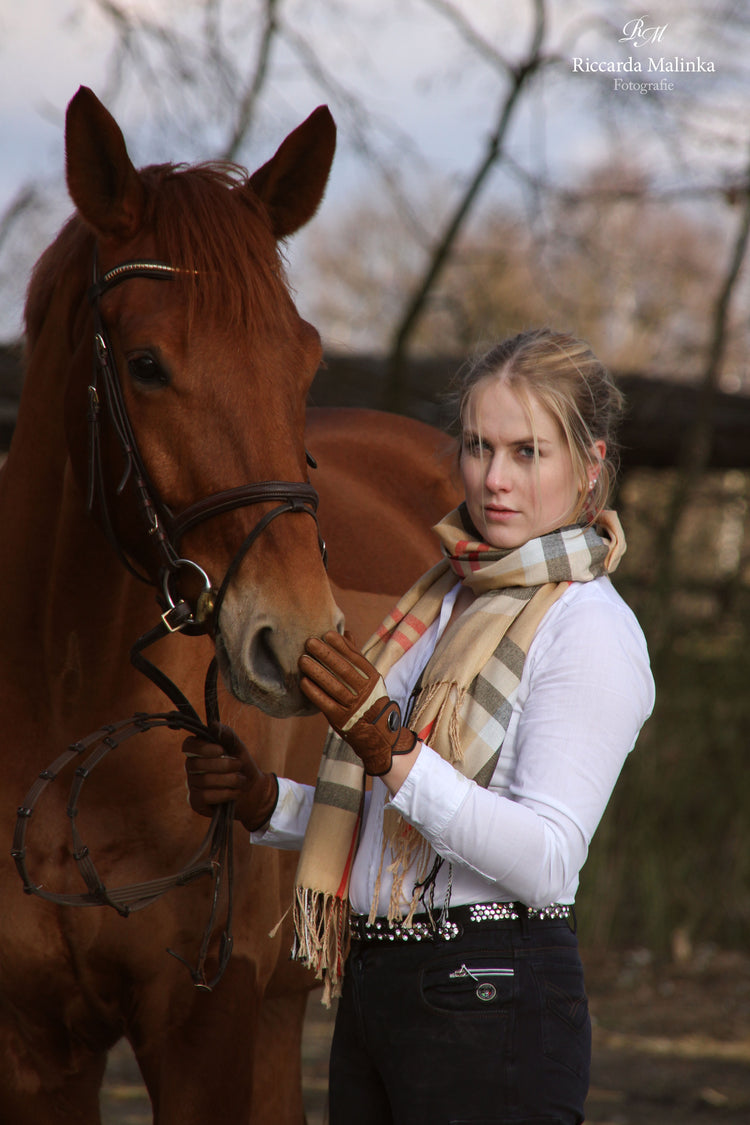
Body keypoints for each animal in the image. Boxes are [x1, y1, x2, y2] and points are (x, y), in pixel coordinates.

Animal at [0, 83, 458, 1120]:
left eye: (305, 360)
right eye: (144, 363)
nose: (298, 641)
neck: (60, 701)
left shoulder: (204, 1027)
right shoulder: (34, 1046)